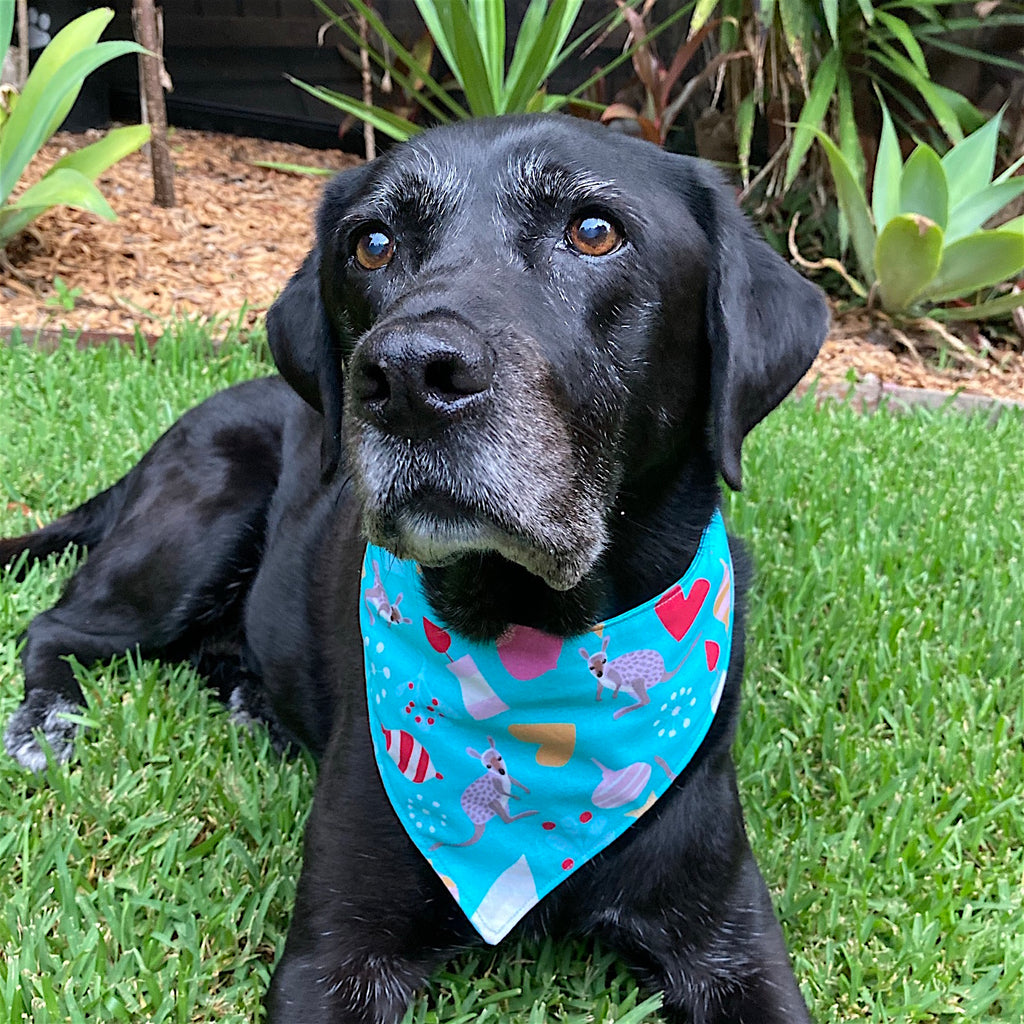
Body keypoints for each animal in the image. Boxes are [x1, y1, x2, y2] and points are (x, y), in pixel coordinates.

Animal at [2, 116, 831, 1019]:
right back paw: (48, 724)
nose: (406, 375)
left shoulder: (730, 946)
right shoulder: (334, 954)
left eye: (594, 231)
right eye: (372, 244)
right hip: (195, 528)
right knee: (57, 625)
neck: (535, 636)